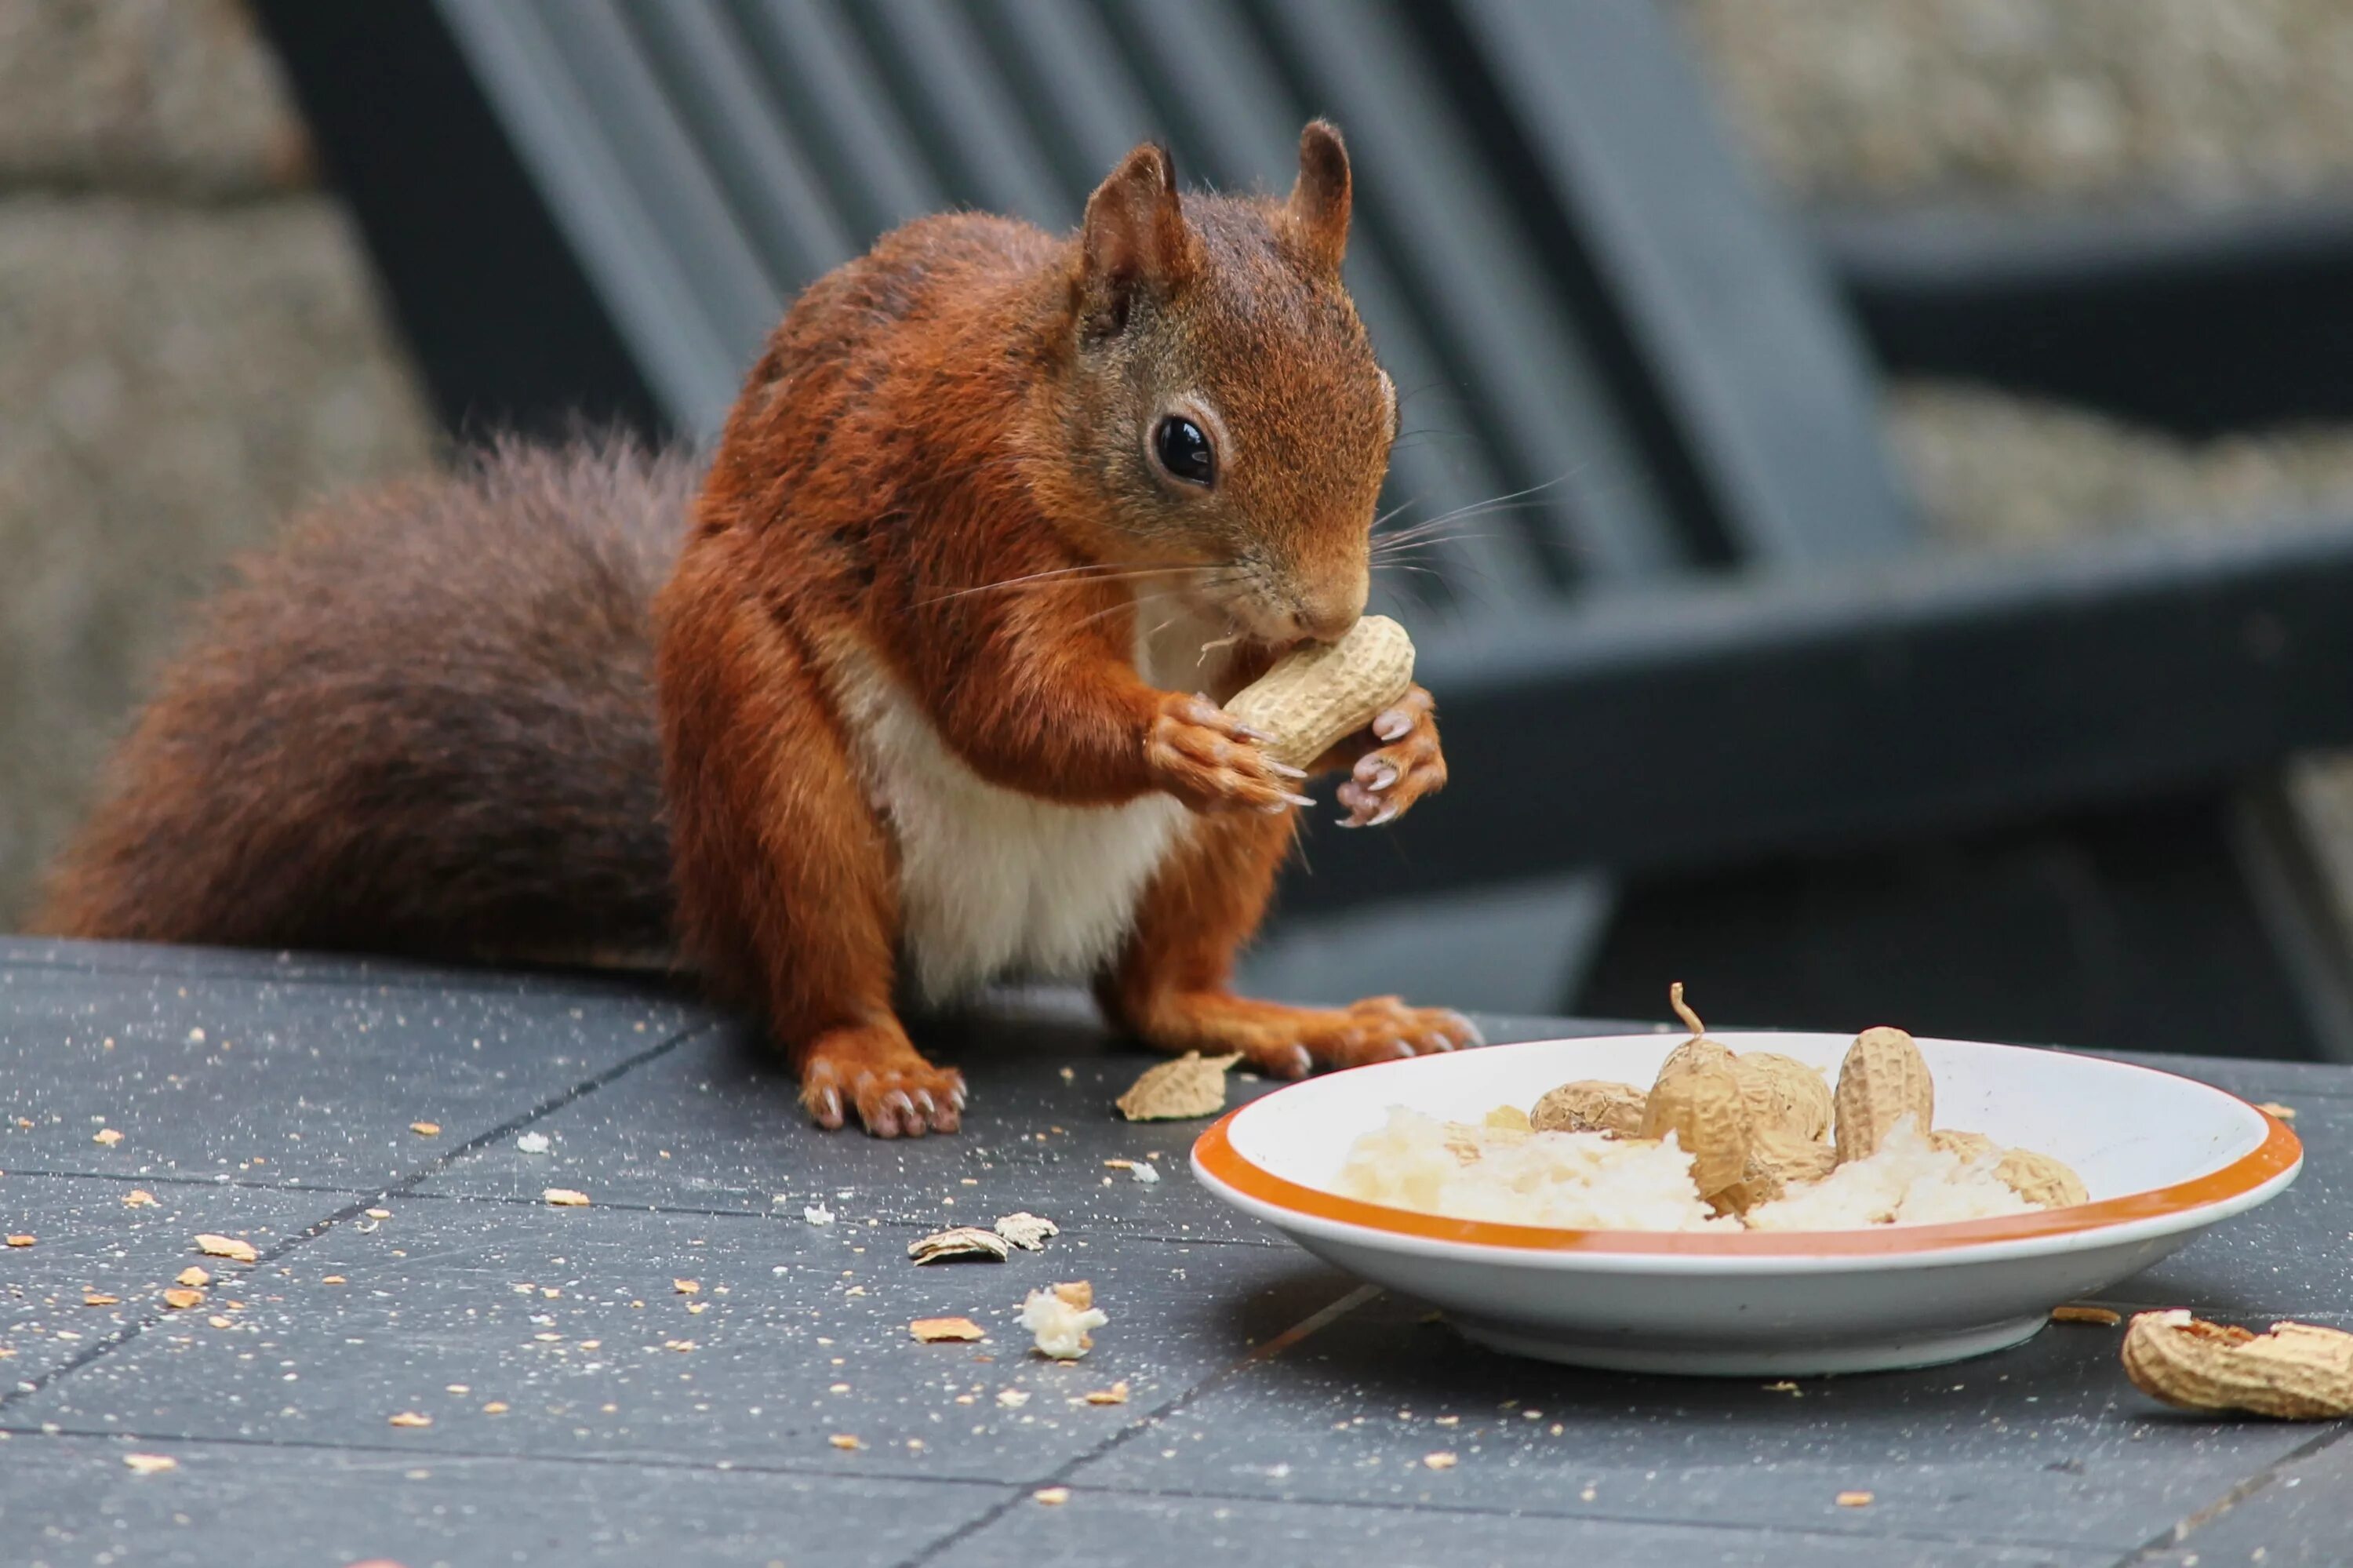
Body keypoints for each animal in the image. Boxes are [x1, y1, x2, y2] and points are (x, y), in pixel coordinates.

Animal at [32, 118, 1468, 1125]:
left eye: (1388, 401)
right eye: (1183, 445)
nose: (1337, 605)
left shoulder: (1240, 639)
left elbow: (1281, 679)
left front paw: (1400, 733)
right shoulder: (957, 516)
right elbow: (1007, 705)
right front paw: (1179, 738)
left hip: (1201, 864)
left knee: (1154, 995)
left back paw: (1301, 1017)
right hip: (774, 767)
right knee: (819, 981)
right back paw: (874, 1059)